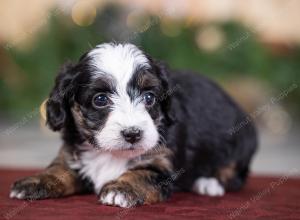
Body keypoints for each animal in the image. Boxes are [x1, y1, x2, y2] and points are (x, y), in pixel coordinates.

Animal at [9, 42, 258, 207]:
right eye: (100, 99)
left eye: (149, 97)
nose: (133, 134)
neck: (111, 154)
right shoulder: (72, 154)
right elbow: (60, 169)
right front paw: (35, 181)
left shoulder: (162, 166)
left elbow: (141, 174)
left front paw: (122, 188)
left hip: (240, 143)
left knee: (235, 174)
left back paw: (208, 183)